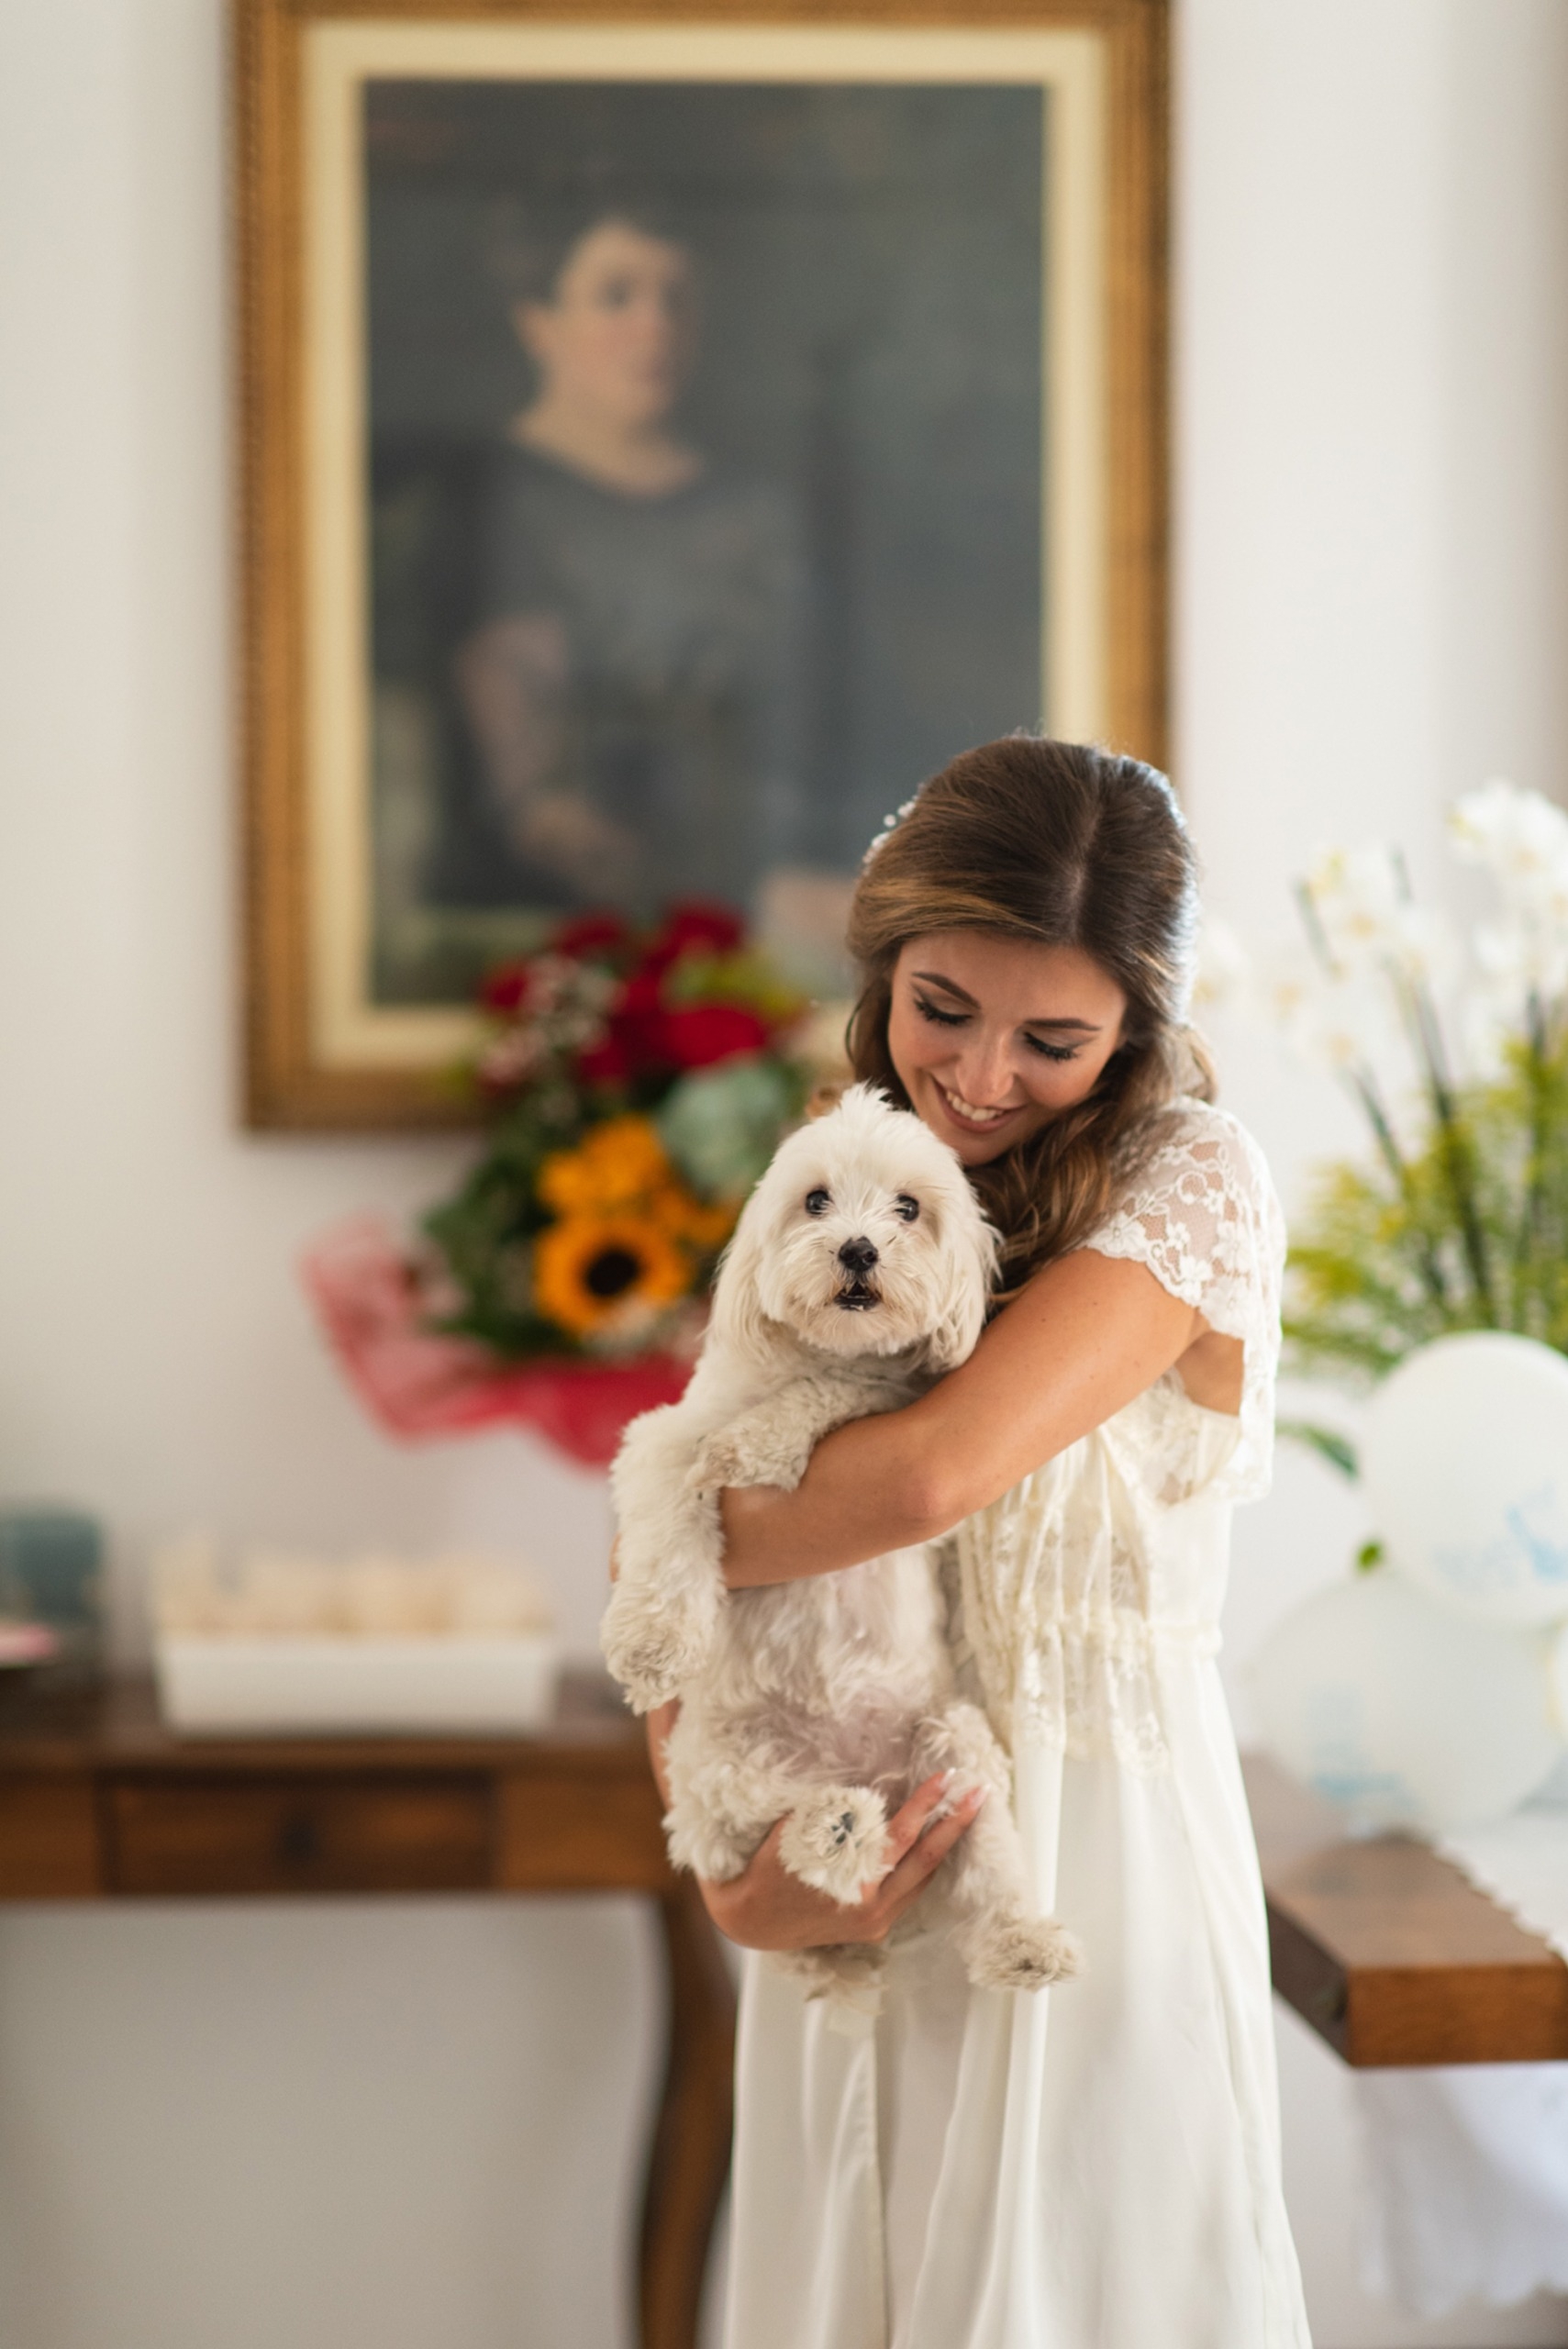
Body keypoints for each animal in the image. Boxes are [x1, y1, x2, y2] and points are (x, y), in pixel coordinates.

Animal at [600, 1085, 1079, 2001]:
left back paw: (1016, 1938)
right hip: (716, 1769)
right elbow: (669, 1523)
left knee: (981, 1869)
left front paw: (765, 1442)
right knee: (766, 1835)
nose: (858, 1248)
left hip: (955, 1748)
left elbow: (846, 1394)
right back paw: (835, 1828)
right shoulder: (661, 1441)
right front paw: (653, 1644)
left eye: (908, 1208)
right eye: (816, 1200)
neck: (812, 1357)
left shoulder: (900, 1423)